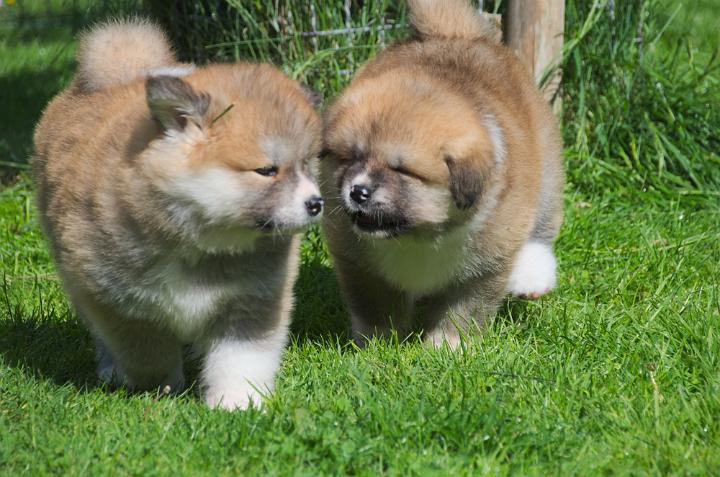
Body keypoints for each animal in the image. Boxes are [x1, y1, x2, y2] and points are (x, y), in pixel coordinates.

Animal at [33, 19, 323, 409]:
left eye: (307, 165)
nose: (316, 203)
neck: (200, 241)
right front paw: (162, 389)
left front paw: (237, 404)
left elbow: (240, 359)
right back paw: (112, 370)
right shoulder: (121, 303)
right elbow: (148, 354)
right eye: (267, 170)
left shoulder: (251, 299)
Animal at [320, 0, 564, 347]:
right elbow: (375, 306)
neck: (419, 237)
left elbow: (462, 312)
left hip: (545, 165)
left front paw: (446, 348)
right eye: (351, 158)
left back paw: (532, 277)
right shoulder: (358, 262)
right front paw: (377, 344)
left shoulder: (483, 269)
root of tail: (453, 33)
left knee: (542, 225)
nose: (357, 192)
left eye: (403, 170)